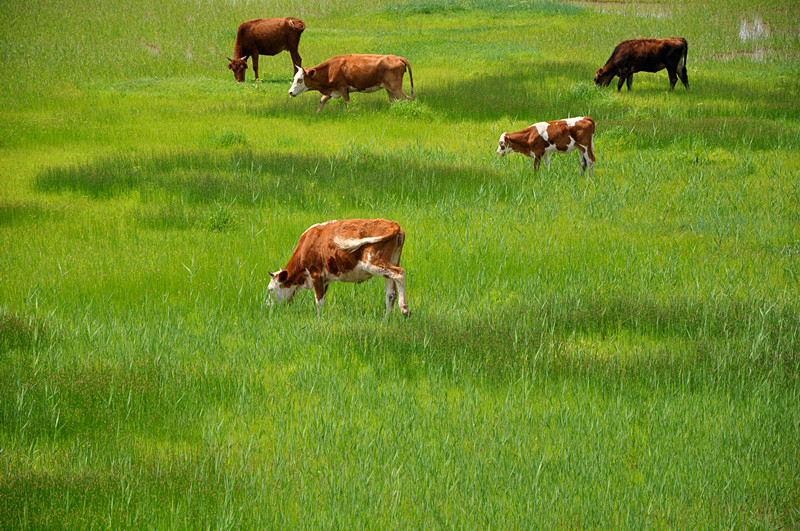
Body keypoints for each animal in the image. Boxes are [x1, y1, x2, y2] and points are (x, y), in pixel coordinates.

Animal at [268, 218, 410, 318]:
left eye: (270, 289)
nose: (268, 306)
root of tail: (393, 224)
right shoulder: (325, 279)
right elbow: (322, 298)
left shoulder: (316, 274)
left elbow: (319, 300)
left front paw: (319, 319)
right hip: (391, 262)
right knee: (390, 293)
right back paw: (386, 319)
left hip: (373, 262)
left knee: (400, 273)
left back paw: (404, 308)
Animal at [288, 54, 416, 112]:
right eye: (294, 78)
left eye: (300, 79)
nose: (290, 92)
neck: (330, 69)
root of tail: (398, 57)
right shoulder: (331, 90)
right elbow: (322, 100)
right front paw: (317, 113)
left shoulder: (343, 88)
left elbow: (347, 103)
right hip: (389, 88)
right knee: (394, 101)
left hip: (395, 87)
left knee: (407, 98)